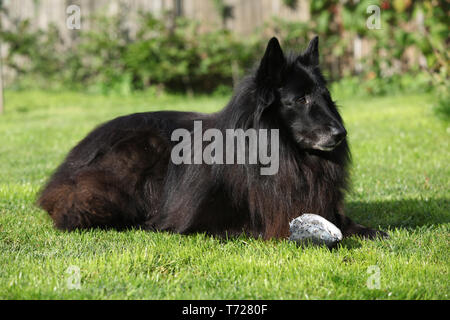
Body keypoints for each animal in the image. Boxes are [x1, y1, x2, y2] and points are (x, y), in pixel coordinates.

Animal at [37, 36, 386, 239]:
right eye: (300, 99)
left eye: (325, 97)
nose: (341, 133)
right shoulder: (212, 221)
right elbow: (254, 227)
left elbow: (351, 224)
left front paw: (366, 231)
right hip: (140, 150)